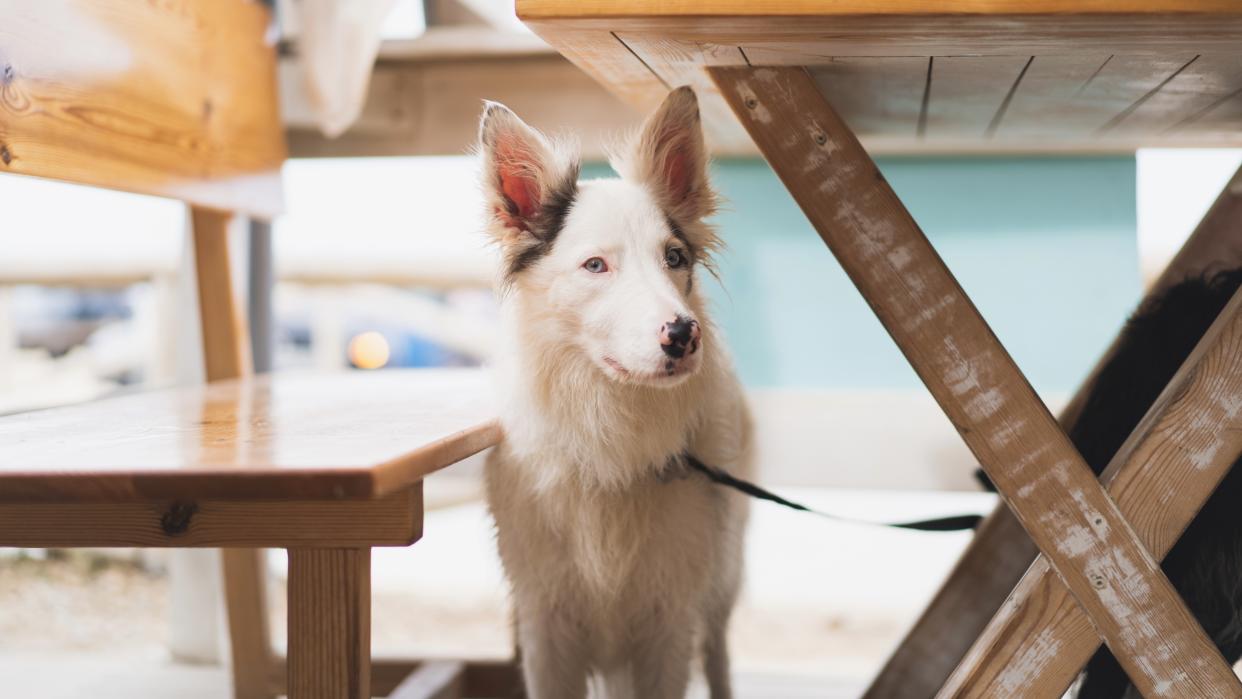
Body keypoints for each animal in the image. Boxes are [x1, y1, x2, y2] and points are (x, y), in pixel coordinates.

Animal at [474, 87, 750, 699]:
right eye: (596, 265)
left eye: (674, 258)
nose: (684, 334)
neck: (609, 435)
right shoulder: (546, 625)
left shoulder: (669, 622)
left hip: (721, 582)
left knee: (719, 654)